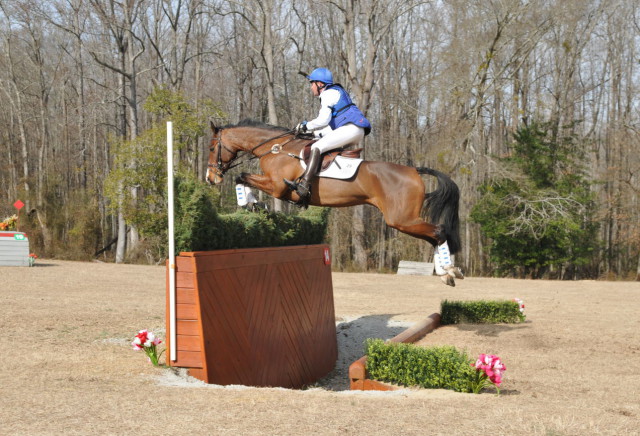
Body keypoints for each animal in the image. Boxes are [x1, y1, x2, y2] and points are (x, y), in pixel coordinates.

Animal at [208, 119, 462, 286]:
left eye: (211, 147)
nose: (211, 178)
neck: (275, 148)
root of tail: (413, 170)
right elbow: (243, 179)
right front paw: (253, 204)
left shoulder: (278, 187)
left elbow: (241, 177)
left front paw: (249, 202)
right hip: (403, 221)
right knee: (434, 236)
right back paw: (446, 272)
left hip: (401, 219)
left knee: (439, 232)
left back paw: (449, 271)